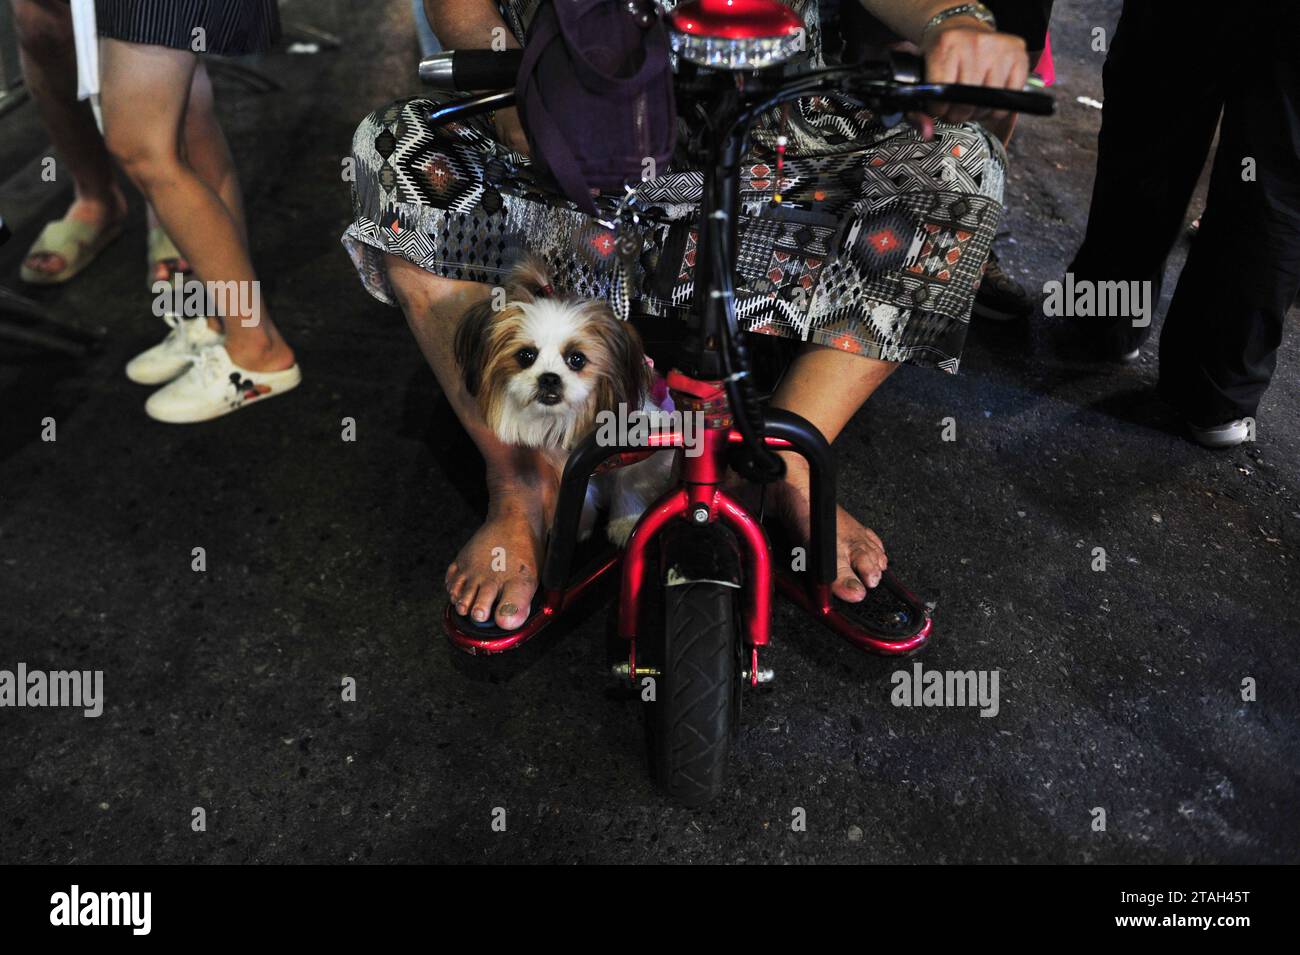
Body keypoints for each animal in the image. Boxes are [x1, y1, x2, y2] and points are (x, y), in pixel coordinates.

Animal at [454, 259, 676, 545]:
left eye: (577, 359)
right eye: (525, 356)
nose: (549, 378)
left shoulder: (645, 447)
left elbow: (629, 482)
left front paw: (626, 523)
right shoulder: (564, 463)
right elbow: (580, 494)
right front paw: (578, 524)